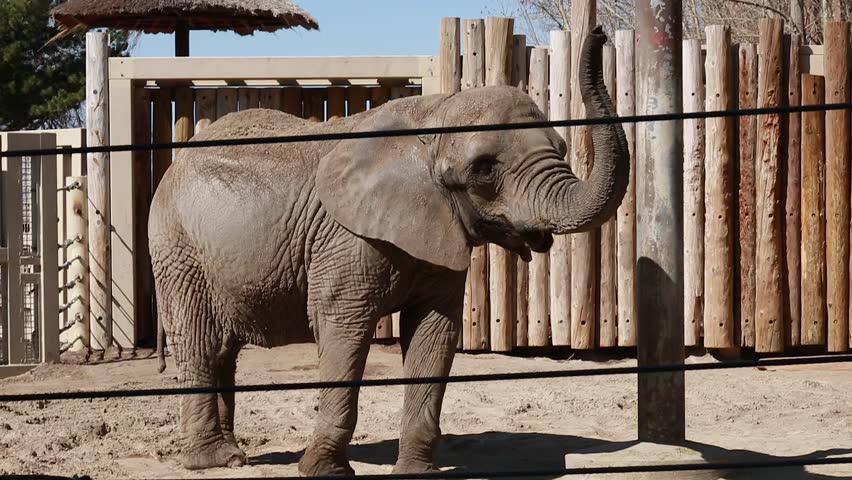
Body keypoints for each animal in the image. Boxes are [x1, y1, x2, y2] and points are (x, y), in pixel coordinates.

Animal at [145, 25, 624, 472]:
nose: (599, 32)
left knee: (222, 352)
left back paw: (234, 456)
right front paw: (325, 471)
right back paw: (216, 460)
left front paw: (416, 472)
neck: (435, 117)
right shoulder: (344, 240)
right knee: (200, 344)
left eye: (561, 148)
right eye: (484, 170)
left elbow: (435, 333)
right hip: (177, 248)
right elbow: (342, 329)